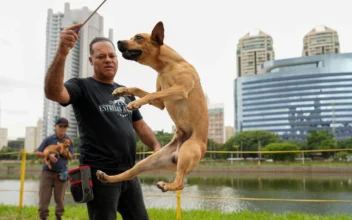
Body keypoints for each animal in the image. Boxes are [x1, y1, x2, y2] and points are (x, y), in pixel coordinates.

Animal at [95, 21, 209, 192]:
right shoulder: (160, 102)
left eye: (138, 38)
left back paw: (166, 185)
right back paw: (108, 177)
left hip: (188, 151)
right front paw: (122, 90)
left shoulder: (180, 90)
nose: (119, 42)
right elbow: (141, 90)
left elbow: (151, 95)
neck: (166, 67)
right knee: (129, 173)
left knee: (180, 183)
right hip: (149, 161)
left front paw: (135, 103)